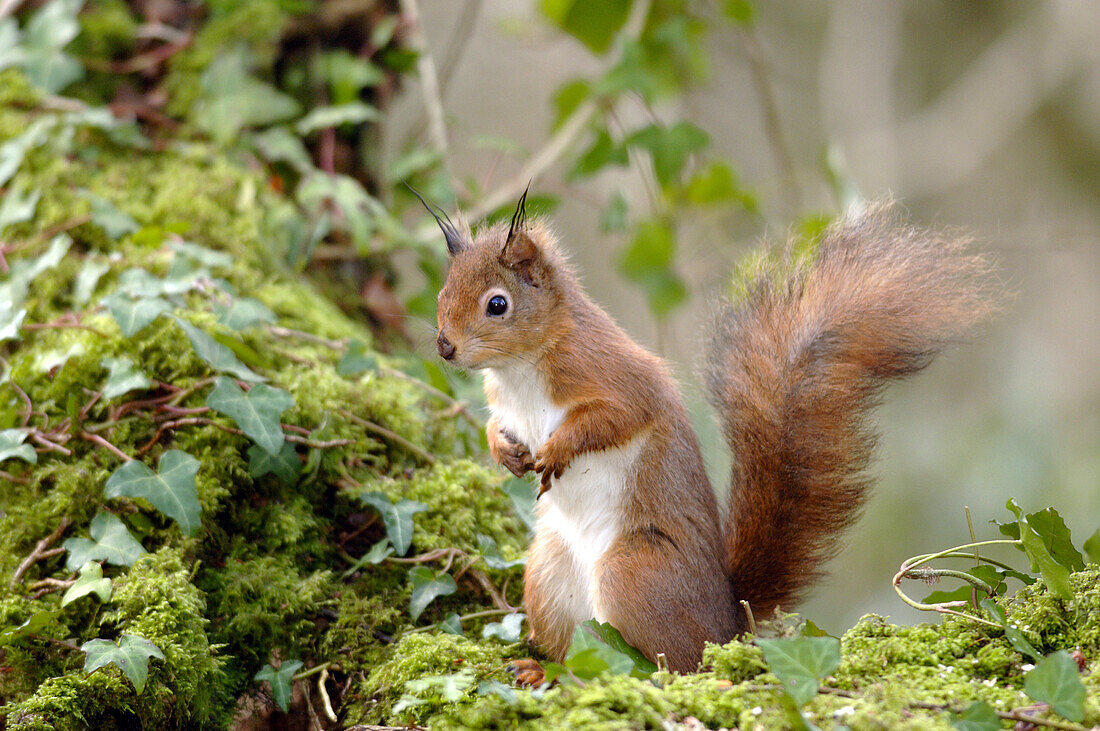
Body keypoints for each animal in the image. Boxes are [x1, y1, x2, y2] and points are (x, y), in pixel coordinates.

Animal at [424, 192, 994, 672]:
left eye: (497, 304)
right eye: (443, 291)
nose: (444, 347)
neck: (519, 369)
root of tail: (728, 623)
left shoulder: (612, 376)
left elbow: (616, 418)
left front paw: (557, 449)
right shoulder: (503, 404)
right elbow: (495, 427)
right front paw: (505, 453)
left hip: (635, 573)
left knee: (666, 666)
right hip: (548, 574)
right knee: (580, 652)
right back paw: (541, 671)